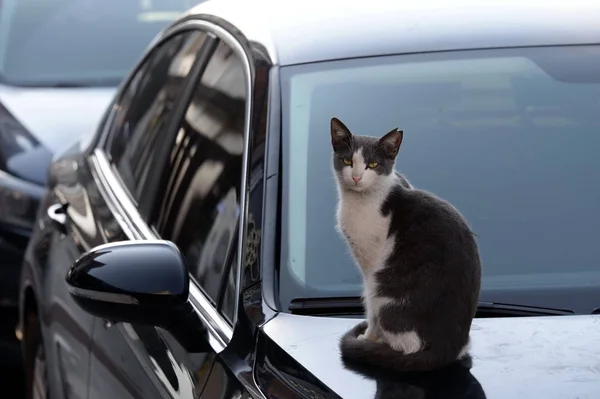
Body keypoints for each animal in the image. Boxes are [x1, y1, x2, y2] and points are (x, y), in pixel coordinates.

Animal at [330, 117, 480, 374]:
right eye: (348, 161)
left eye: (372, 164)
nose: (356, 177)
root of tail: (445, 350)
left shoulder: (370, 264)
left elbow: (371, 312)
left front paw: (367, 338)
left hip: (385, 289)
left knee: (405, 342)